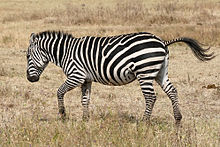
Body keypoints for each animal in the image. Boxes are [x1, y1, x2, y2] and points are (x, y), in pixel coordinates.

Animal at [25, 31, 213, 124]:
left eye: (27, 56)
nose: (29, 79)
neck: (65, 52)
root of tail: (162, 42)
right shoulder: (86, 79)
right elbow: (85, 99)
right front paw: (85, 120)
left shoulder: (76, 75)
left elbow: (59, 91)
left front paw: (63, 115)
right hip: (160, 72)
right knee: (172, 91)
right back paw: (178, 119)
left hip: (144, 73)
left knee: (151, 97)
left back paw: (144, 122)